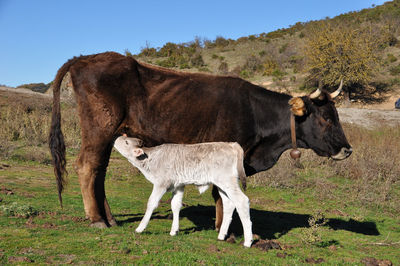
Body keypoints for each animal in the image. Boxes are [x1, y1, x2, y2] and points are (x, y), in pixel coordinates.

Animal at [48, 51, 352, 230]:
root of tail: (85, 58)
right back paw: (97, 219)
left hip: (110, 134)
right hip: (99, 129)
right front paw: (226, 230)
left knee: (99, 171)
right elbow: (222, 195)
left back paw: (109, 218)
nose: (347, 150)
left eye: (336, 115)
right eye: (326, 118)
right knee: (87, 166)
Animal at [112, 137, 252, 247]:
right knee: (229, 204)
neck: (151, 159)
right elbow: (175, 205)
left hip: (227, 181)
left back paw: (248, 241)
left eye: (126, 142)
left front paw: (140, 228)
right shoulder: (178, 185)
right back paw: (221, 235)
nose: (116, 138)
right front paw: (174, 231)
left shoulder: (161, 184)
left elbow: (151, 203)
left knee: (242, 201)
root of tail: (231, 144)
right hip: (222, 185)